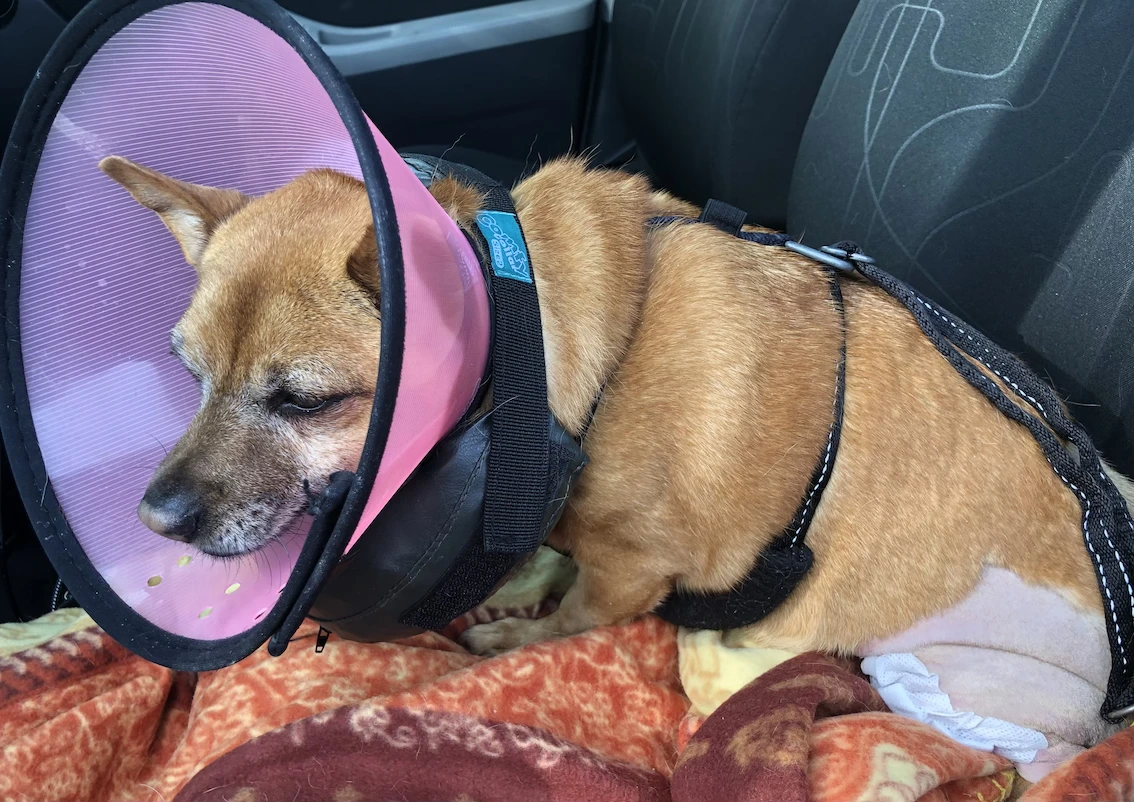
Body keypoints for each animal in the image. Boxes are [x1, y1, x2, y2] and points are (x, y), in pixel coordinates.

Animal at [102, 152, 1129, 771]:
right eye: (187, 373)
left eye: (305, 401)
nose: (153, 518)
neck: (532, 341)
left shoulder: (635, 569)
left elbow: (572, 618)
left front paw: (516, 634)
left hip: (962, 682)